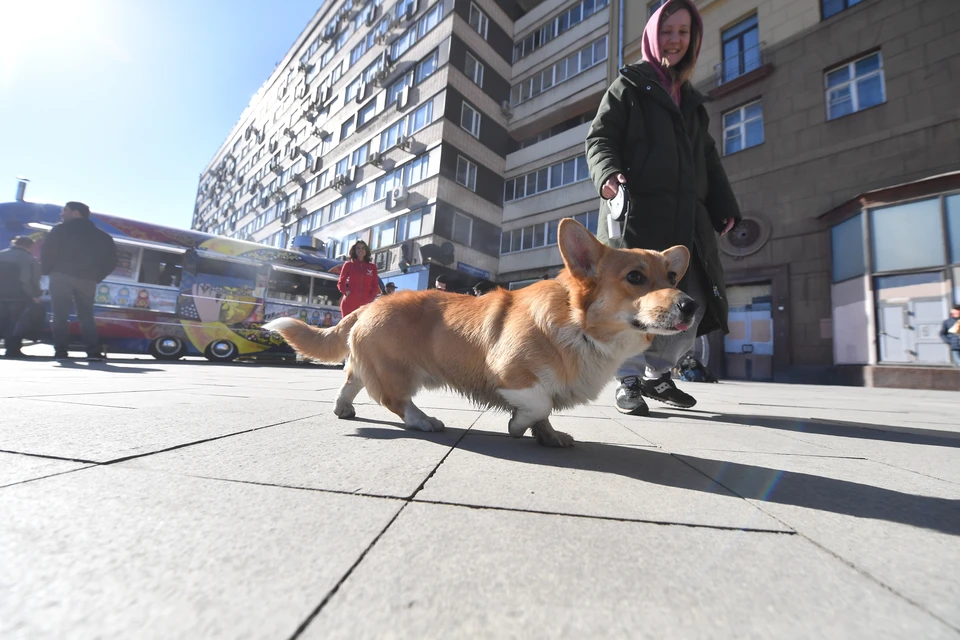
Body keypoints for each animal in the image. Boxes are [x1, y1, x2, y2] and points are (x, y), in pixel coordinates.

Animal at [264, 222, 696, 448]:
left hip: (372, 362)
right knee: (392, 399)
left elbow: (546, 415)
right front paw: (517, 428)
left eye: (672, 278)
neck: (580, 326)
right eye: (635, 277)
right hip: (399, 371)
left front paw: (550, 437)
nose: (692, 305)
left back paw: (343, 409)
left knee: (350, 379)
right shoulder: (513, 374)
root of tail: (368, 305)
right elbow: (538, 404)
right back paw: (423, 421)